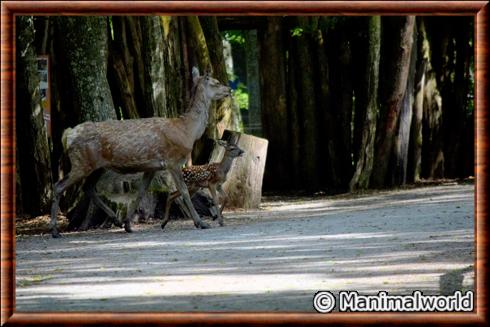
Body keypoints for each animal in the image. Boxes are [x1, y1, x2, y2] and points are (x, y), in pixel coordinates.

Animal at [50, 68, 231, 238]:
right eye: (216, 82)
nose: (229, 89)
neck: (187, 131)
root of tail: (67, 134)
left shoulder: (152, 167)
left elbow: (141, 193)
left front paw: (128, 224)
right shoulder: (173, 160)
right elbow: (184, 191)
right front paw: (201, 223)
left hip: (96, 165)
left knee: (87, 188)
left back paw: (116, 220)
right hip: (81, 162)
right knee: (58, 186)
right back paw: (54, 231)